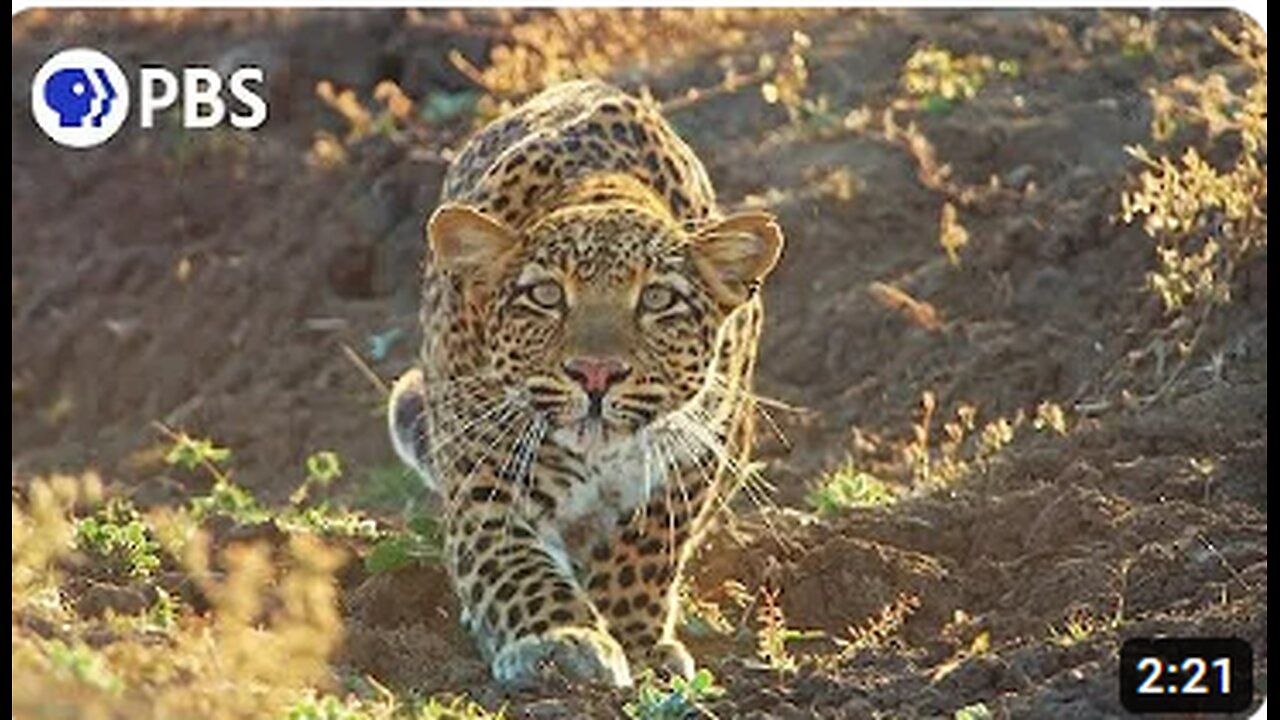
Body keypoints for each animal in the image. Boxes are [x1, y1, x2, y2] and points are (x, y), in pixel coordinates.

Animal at [389, 77, 783, 681]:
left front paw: (636, 642)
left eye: (657, 299)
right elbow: (514, 566)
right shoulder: (488, 475)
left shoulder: (697, 451)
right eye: (546, 295)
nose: (596, 373)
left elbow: (647, 550)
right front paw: (561, 639)